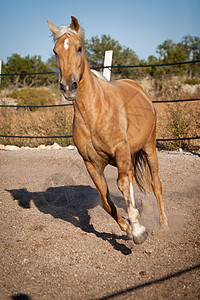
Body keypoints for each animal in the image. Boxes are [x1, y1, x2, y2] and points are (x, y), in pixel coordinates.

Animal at [46, 15, 167, 244]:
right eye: (55, 52)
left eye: (79, 48)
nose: (68, 87)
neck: (94, 114)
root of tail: (140, 89)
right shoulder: (92, 164)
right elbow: (106, 201)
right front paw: (129, 228)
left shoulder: (120, 152)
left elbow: (122, 185)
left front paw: (138, 231)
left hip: (149, 147)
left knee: (156, 184)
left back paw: (164, 223)